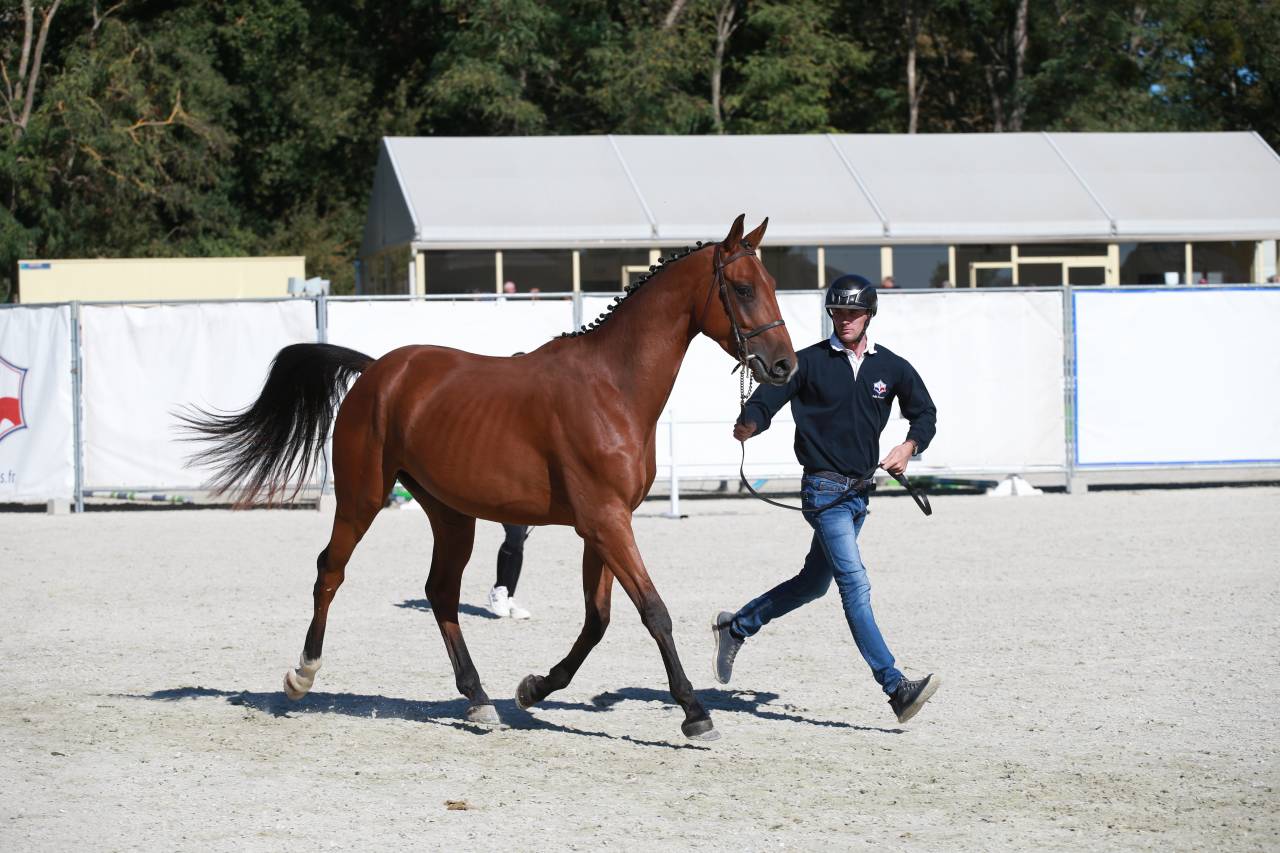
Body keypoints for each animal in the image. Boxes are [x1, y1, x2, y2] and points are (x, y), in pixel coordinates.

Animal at [181, 214, 796, 741]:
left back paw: (478, 699)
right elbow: (654, 612)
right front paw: (694, 711)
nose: (785, 365)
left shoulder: (603, 525)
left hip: (452, 515)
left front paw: (533, 689)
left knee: (441, 592)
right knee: (330, 571)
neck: (612, 386)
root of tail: (377, 371)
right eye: (743, 288)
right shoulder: (605, 522)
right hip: (362, 498)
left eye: (772, 281)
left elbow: (598, 619)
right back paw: (302, 675)